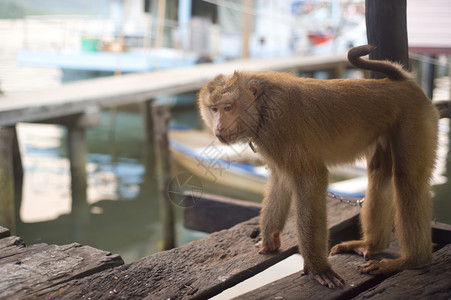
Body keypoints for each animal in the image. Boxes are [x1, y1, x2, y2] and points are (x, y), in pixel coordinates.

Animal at [197, 45, 438, 288]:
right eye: (213, 109)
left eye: (227, 107)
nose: (218, 128)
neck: (262, 104)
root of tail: (401, 83)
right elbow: (280, 179)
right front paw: (269, 239)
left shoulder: (279, 124)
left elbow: (310, 177)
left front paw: (318, 268)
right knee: (380, 175)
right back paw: (372, 244)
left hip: (416, 117)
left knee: (408, 181)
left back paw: (414, 259)